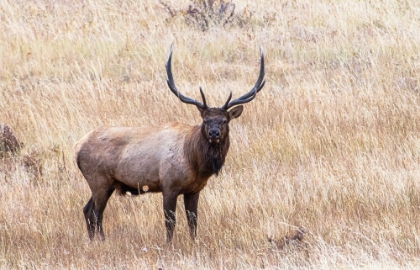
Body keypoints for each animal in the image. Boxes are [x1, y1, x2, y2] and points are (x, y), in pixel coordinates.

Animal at [74, 44, 266, 243]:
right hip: (99, 179)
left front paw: (193, 242)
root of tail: (77, 147)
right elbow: (170, 221)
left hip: (107, 183)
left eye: (224, 120)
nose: (214, 133)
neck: (195, 162)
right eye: (205, 120)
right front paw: (169, 244)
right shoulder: (169, 185)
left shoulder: (194, 189)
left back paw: (94, 240)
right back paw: (102, 241)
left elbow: (193, 220)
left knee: (87, 209)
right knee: (96, 212)